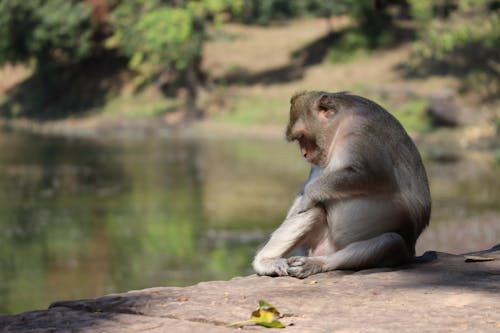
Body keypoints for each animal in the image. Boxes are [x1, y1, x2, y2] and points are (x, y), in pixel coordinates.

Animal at [252, 91, 432, 278]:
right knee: (315, 211)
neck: (339, 127)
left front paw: (309, 194)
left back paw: (317, 263)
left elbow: (374, 175)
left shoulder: (361, 128)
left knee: (390, 242)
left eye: (302, 136)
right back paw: (265, 262)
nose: (304, 154)